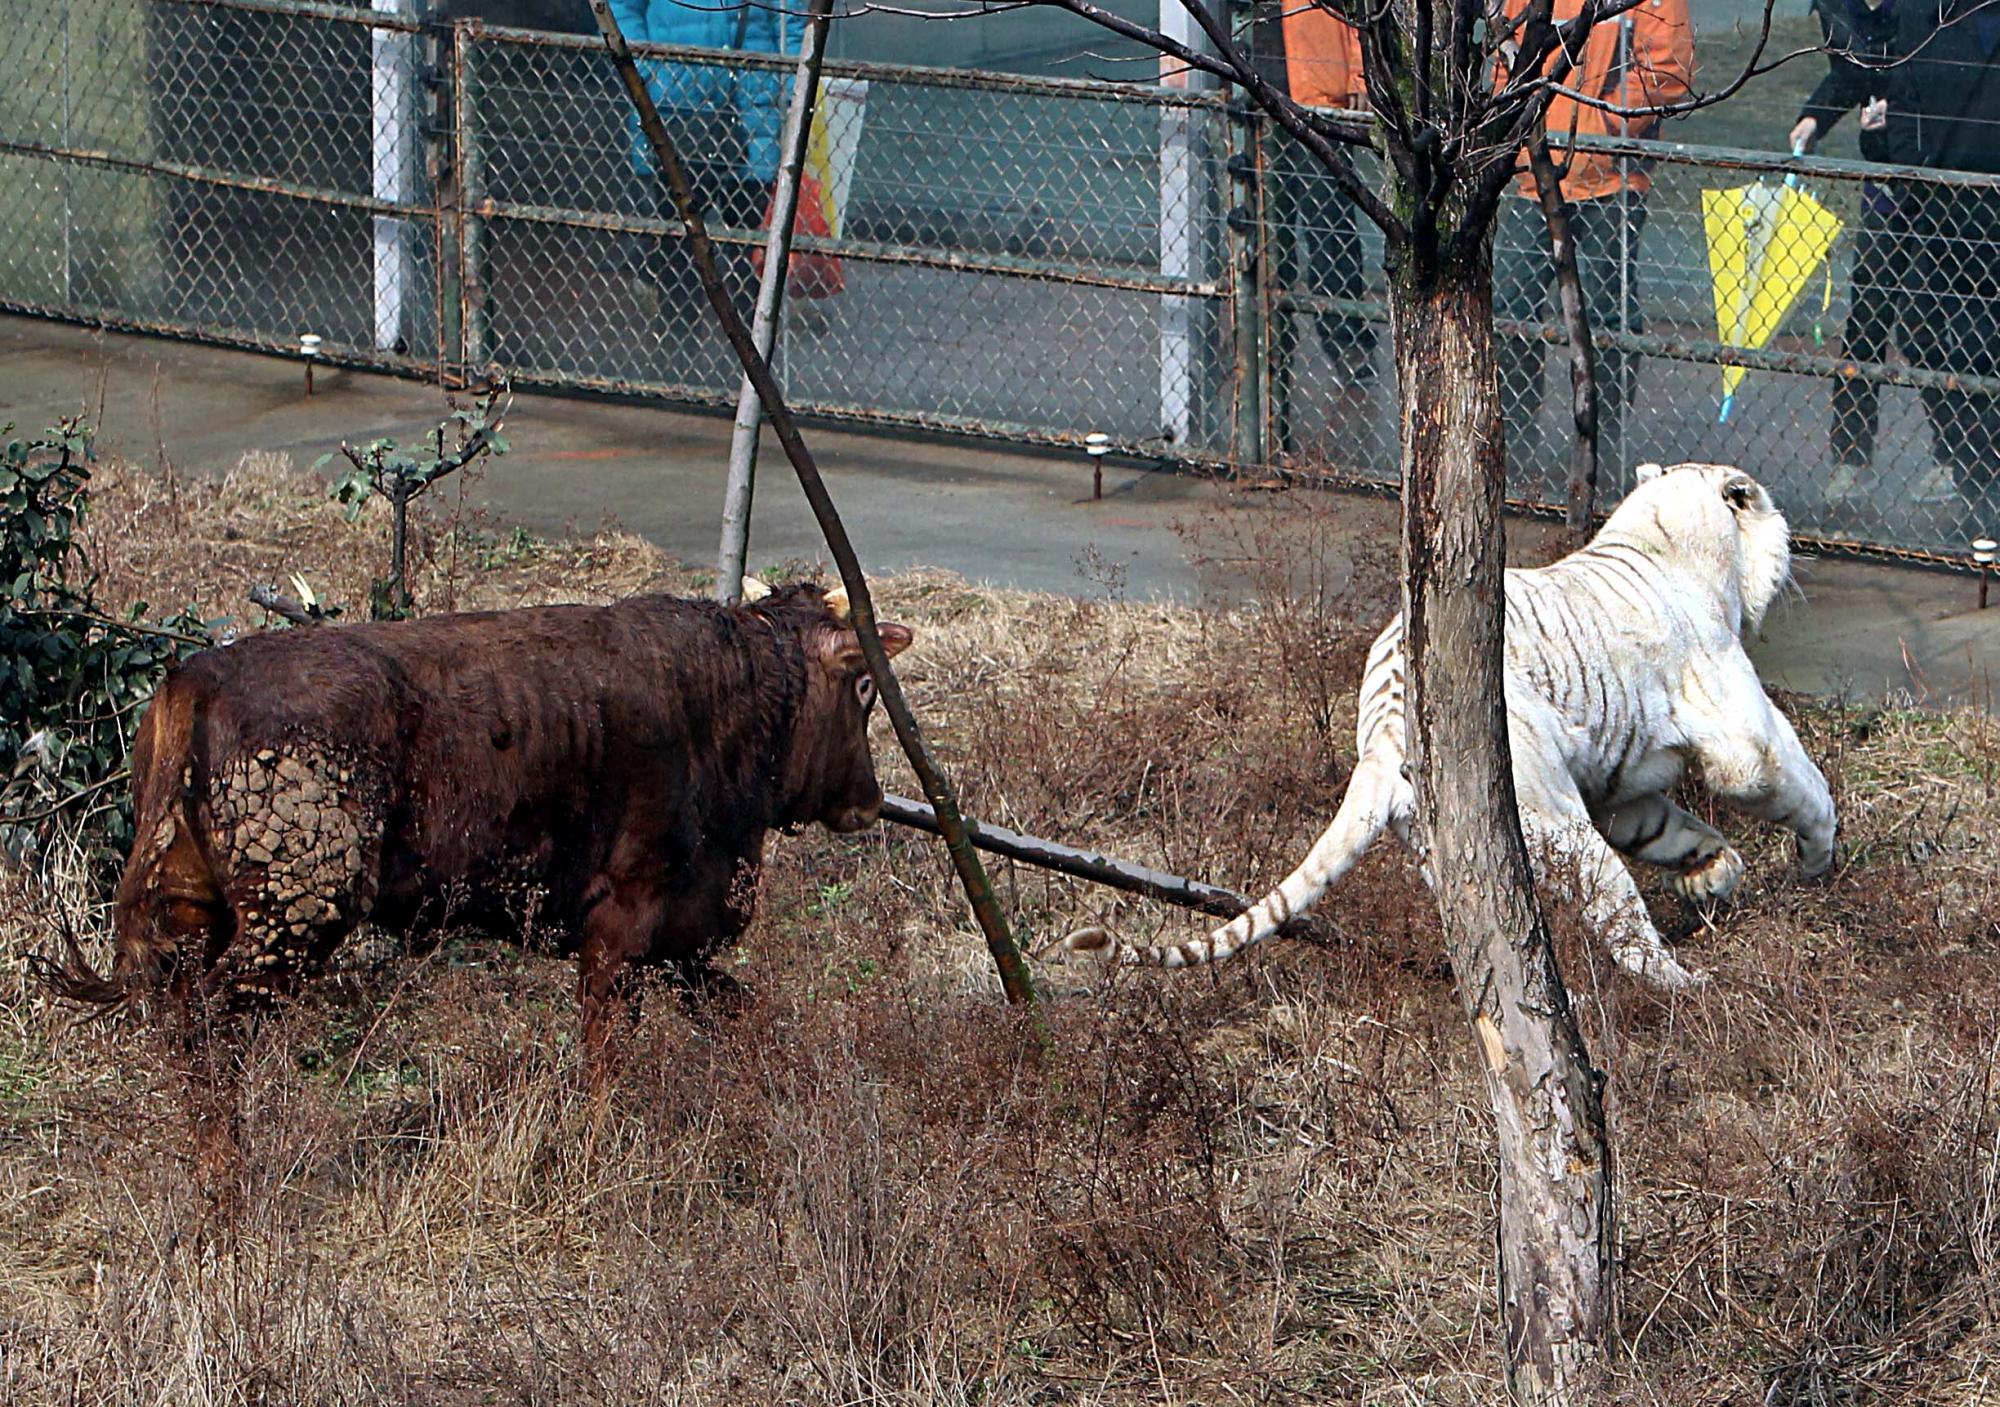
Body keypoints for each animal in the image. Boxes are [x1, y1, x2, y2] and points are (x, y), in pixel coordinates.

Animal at [1056, 461, 1832, 991]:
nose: (1792, 541)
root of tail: (1382, 737)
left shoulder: (1622, 787)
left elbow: (1674, 828)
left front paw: (1714, 872)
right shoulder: (1740, 730)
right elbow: (1794, 779)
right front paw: (1817, 861)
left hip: (1446, 844)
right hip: (1550, 813)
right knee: (1619, 914)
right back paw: (1686, 985)